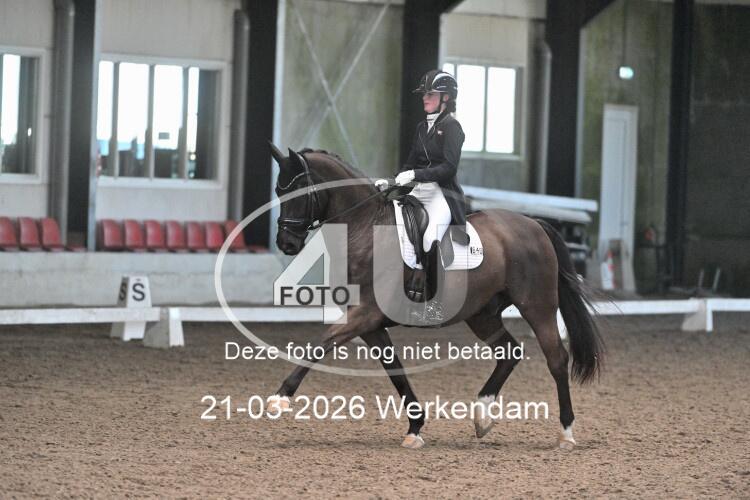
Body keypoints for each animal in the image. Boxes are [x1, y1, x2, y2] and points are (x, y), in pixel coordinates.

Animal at [266, 144, 604, 450]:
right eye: (278, 191)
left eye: (297, 193)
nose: (286, 243)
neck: (365, 230)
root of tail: (534, 223)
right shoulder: (371, 324)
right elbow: (395, 370)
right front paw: (415, 427)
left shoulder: (365, 314)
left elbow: (321, 344)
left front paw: (279, 399)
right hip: (482, 314)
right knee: (509, 351)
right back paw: (482, 417)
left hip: (537, 306)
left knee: (556, 358)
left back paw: (566, 433)